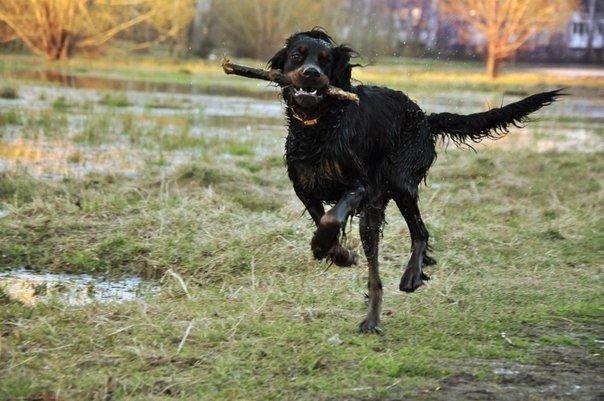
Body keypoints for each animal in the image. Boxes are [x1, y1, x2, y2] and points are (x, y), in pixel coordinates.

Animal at [266, 26, 560, 330]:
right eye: (297, 56)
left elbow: (331, 219)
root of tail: (425, 119)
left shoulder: (361, 186)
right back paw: (373, 315)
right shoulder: (306, 190)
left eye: (326, 61)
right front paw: (338, 254)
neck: (320, 124)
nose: (311, 73)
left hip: (398, 183)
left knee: (419, 234)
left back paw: (406, 281)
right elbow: (324, 223)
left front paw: (326, 248)